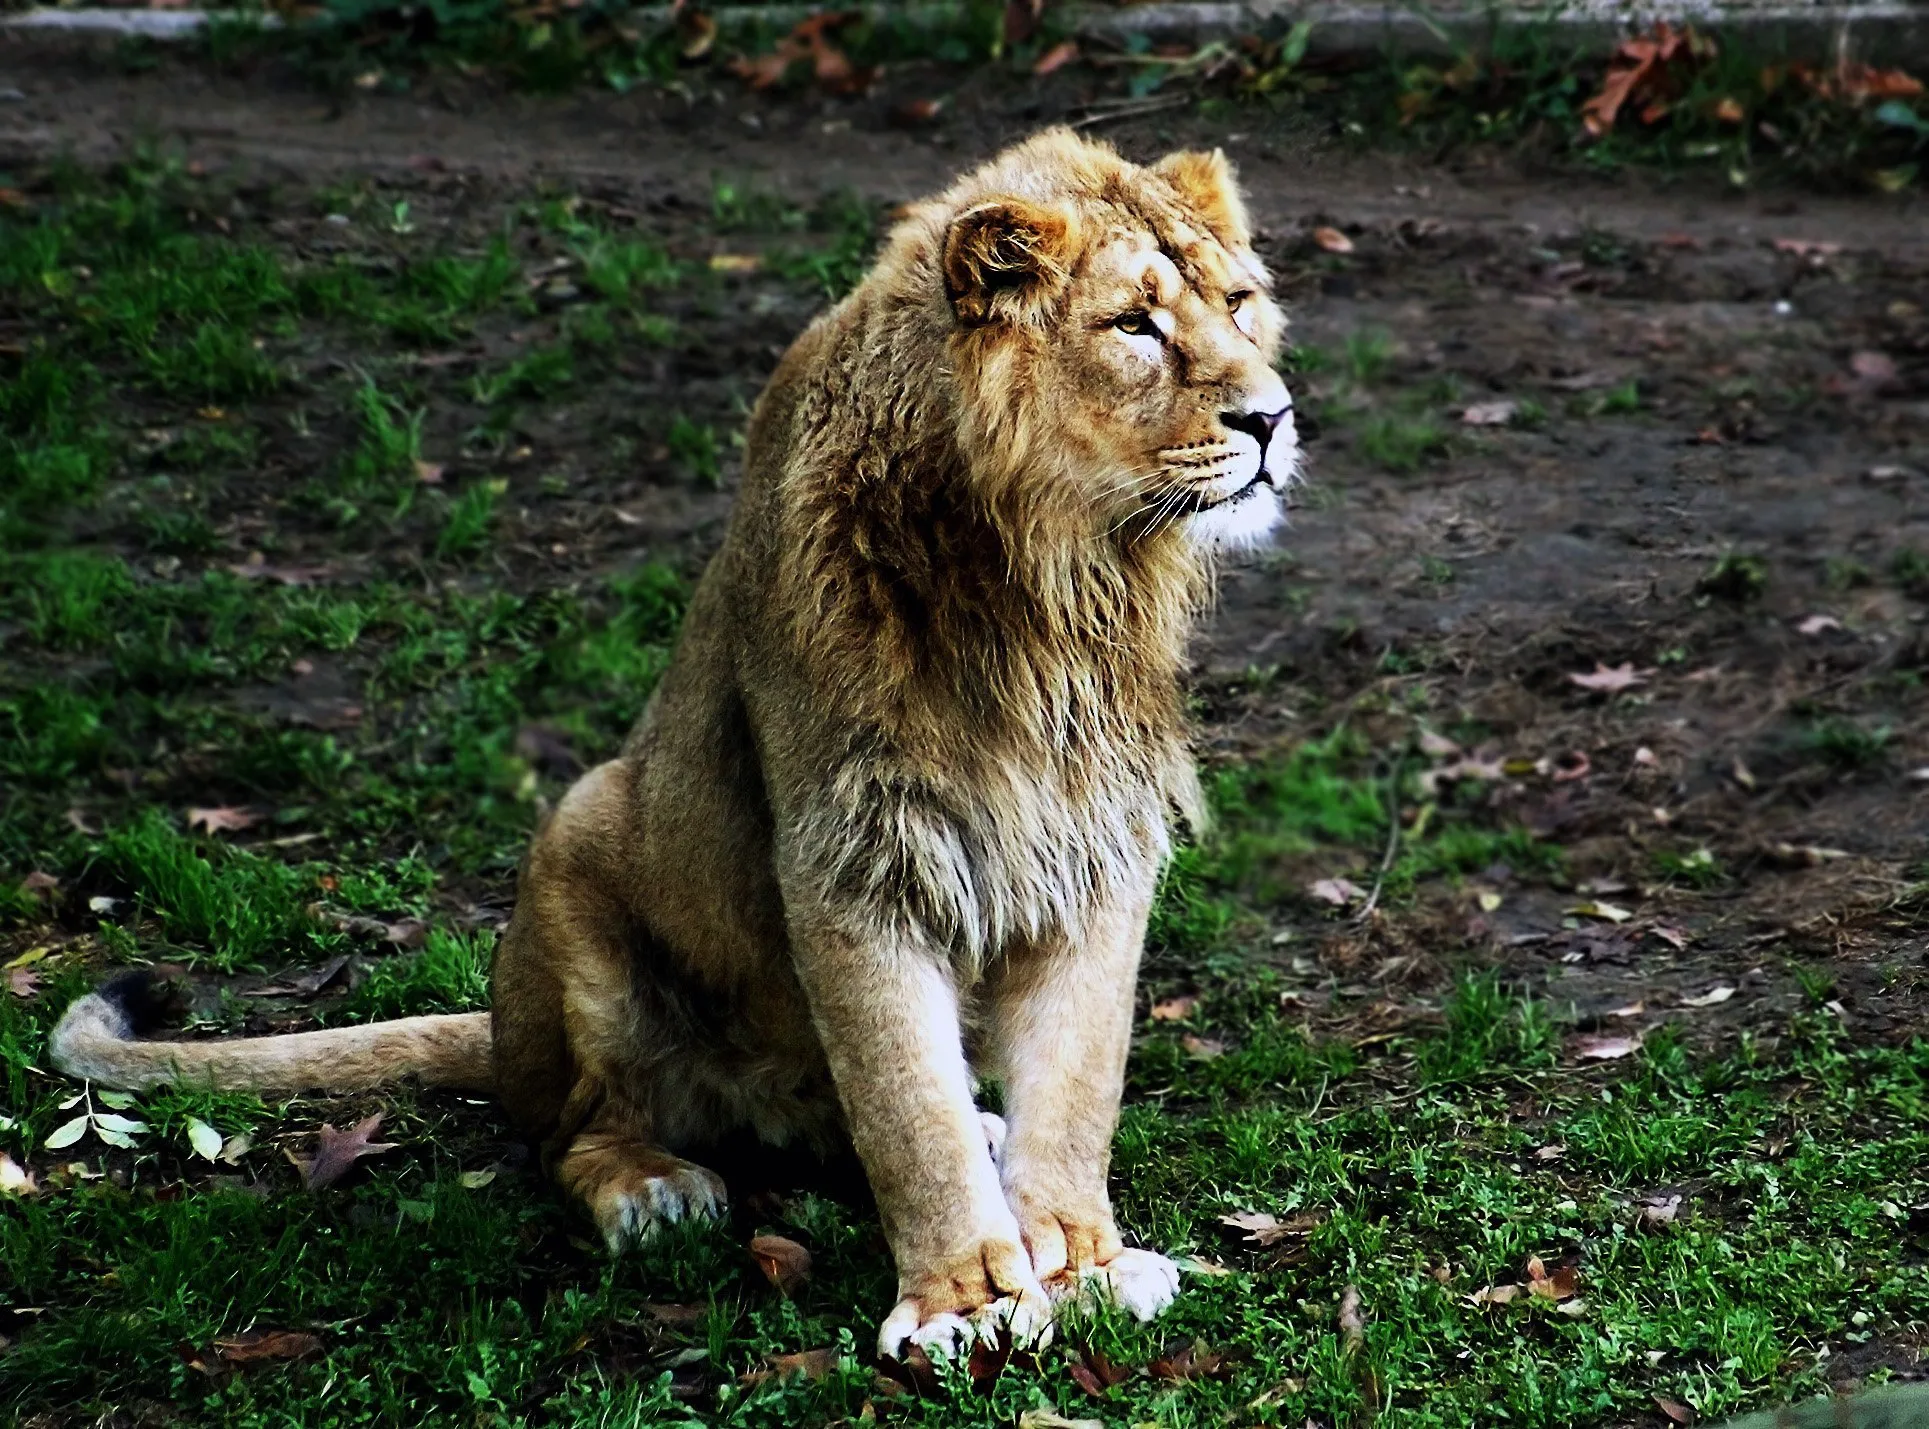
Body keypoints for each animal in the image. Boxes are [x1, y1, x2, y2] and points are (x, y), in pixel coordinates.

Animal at [52, 131, 1304, 1357]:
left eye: (1240, 303)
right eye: (1133, 324)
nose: (1273, 419)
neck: (1059, 579)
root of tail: (501, 1032)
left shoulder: (1094, 841)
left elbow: (1077, 1089)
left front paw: (1081, 1263)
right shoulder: (854, 852)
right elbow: (905, 1106)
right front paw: (966, 1301)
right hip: (581, 831)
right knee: (569, 1133)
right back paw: (650, 1189)